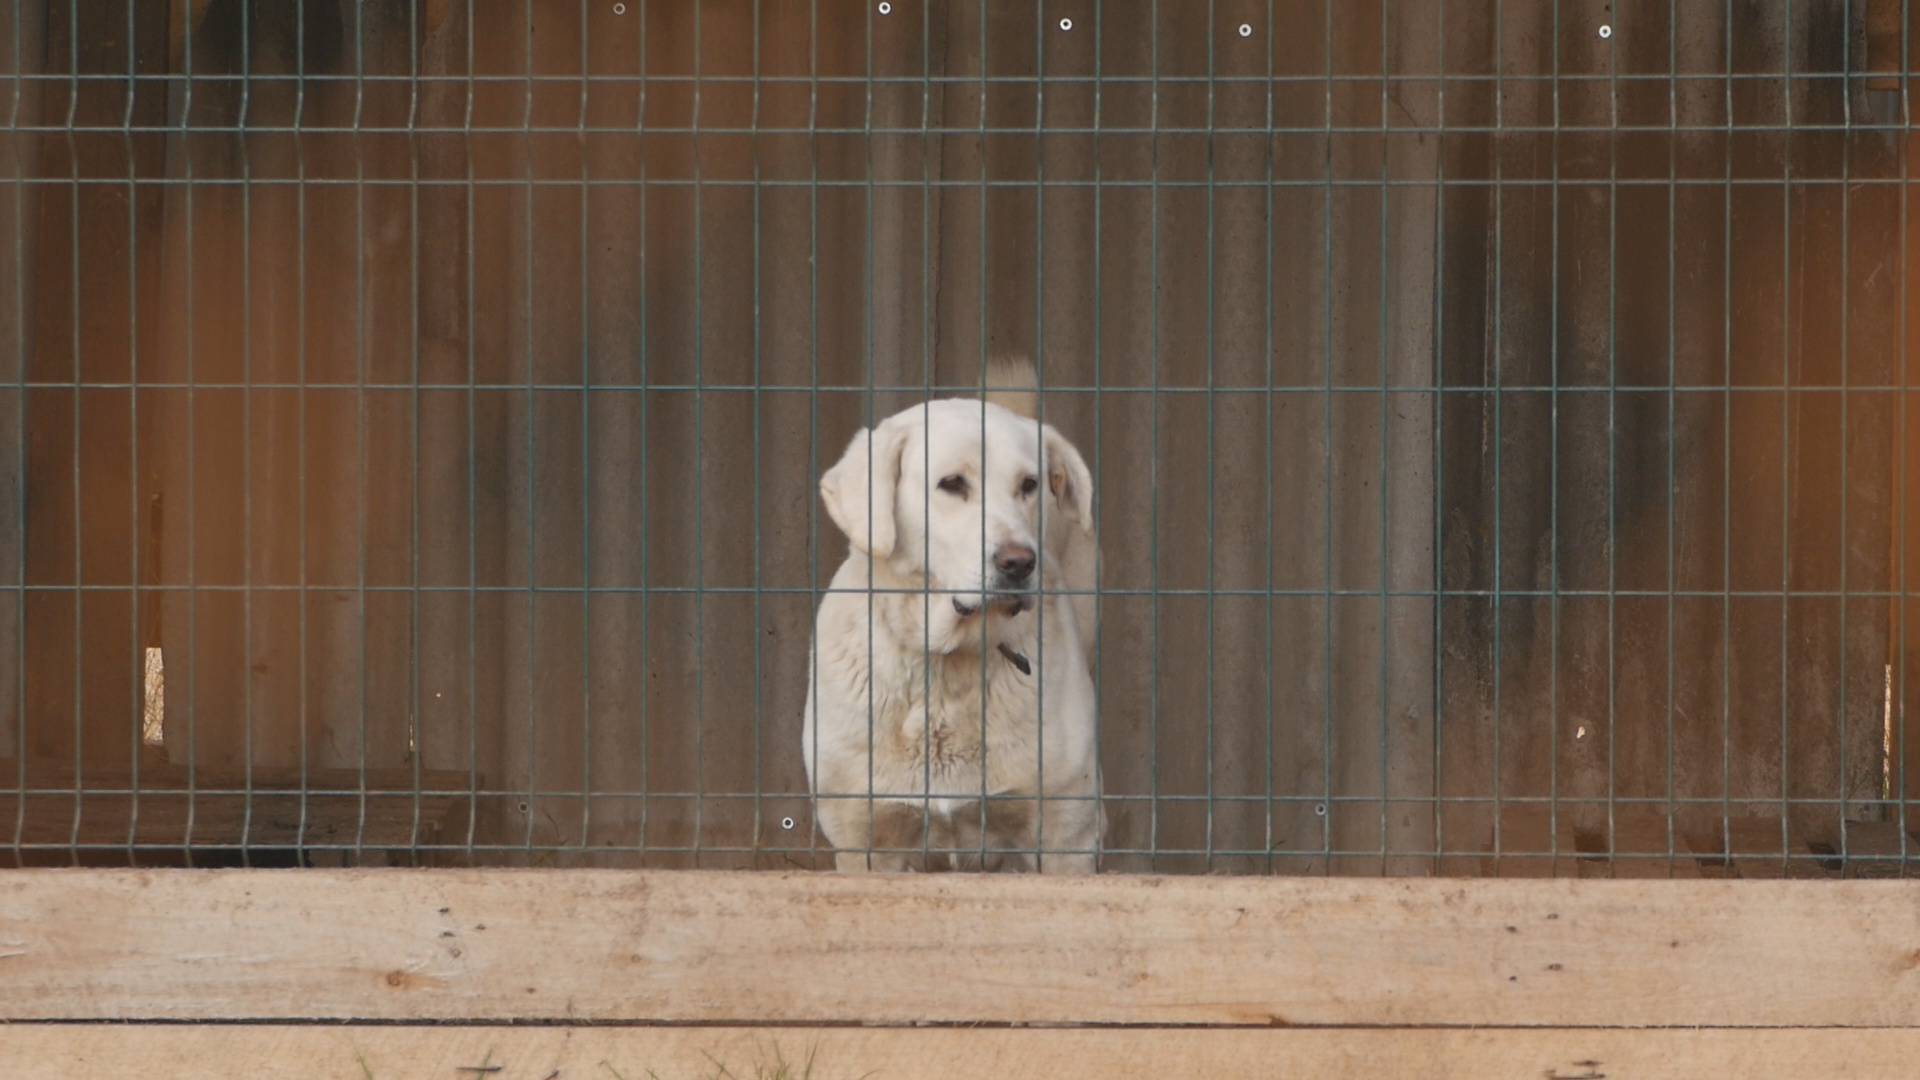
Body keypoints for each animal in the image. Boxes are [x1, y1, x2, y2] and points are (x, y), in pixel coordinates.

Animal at [802, 357, 1105, 868]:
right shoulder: (866, 839)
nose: (1019, 563)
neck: (942, 671)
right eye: (951, 484)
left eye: (1029, 485)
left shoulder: (1066, 837)